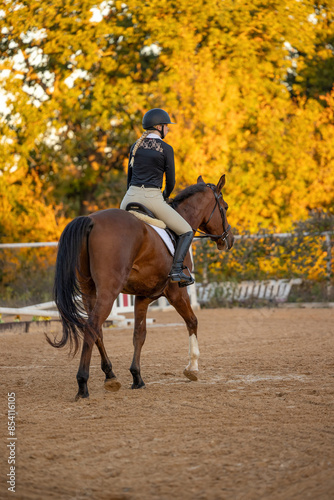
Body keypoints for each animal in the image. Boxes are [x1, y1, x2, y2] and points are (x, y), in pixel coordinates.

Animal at [48, 174, 234, 400]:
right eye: (225, 207)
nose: (229, 239)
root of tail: (91, 220)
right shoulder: (177, 292)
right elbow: (192, 321)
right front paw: (192, 368)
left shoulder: (143, 297)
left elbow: (139, 334)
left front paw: (137, 377)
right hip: (109, 292)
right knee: (92, 326)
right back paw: (83, 385)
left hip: (88, 290)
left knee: (96, 328)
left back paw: (110, 376)